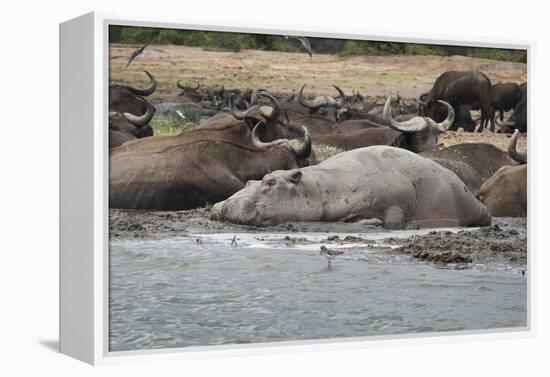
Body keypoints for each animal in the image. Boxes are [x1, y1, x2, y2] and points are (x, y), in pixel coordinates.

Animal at [212, 145, 492, 229]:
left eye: (270, 181)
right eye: (250, 181)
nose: (224, 204)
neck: (318, 188)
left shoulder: (396, 198)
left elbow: (393, 217)